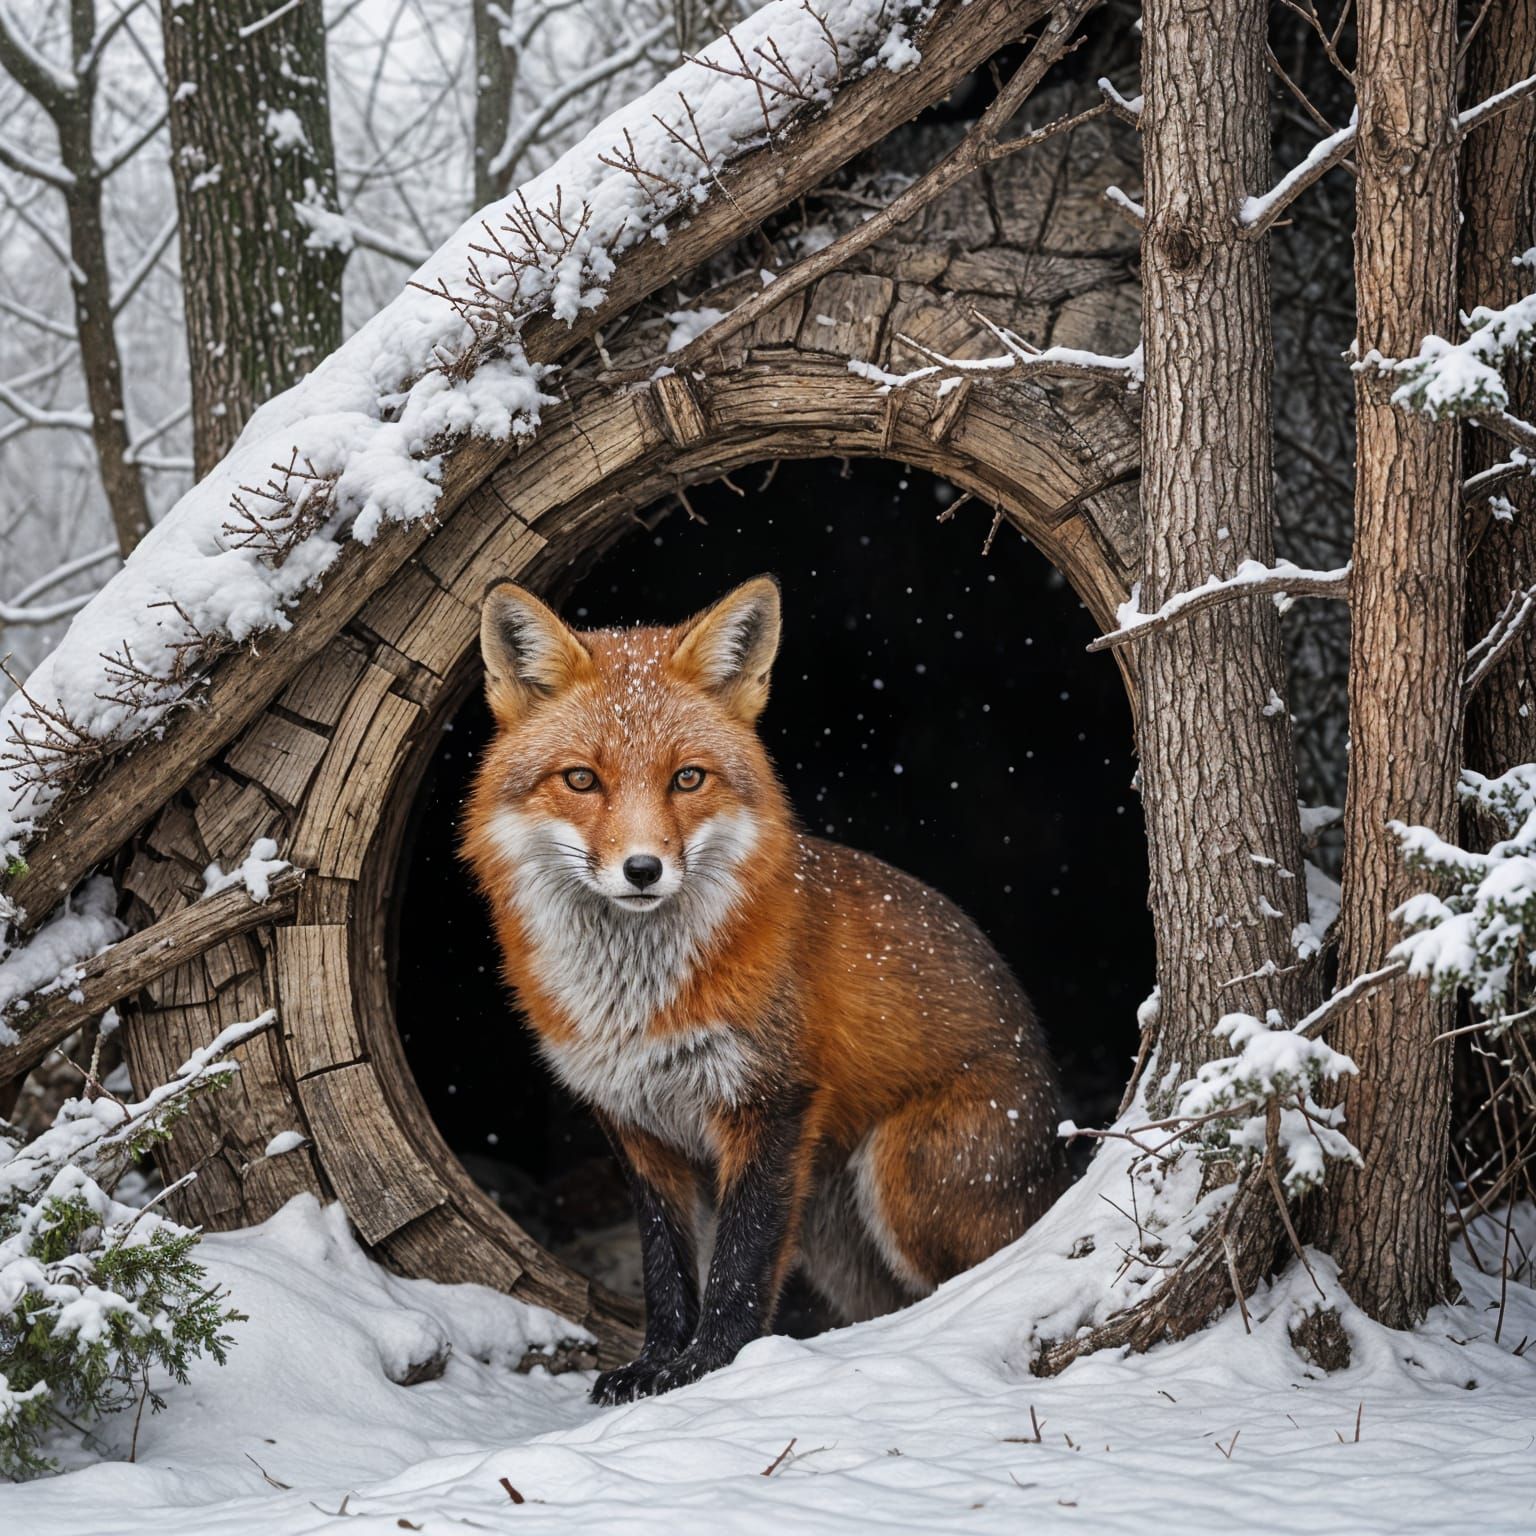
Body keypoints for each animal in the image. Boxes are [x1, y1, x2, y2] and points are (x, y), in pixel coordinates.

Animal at [461, 574, 1067, 1404]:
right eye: (581, 779)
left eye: (687, 777)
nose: (643, 870)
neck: (636, 1004)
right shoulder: (638, 1127)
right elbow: (668, 1270)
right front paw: (653, 1366)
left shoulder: (771, 1101)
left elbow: (739, 1266)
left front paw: (705, 1371)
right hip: (837, 1241)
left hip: (904, 1182)